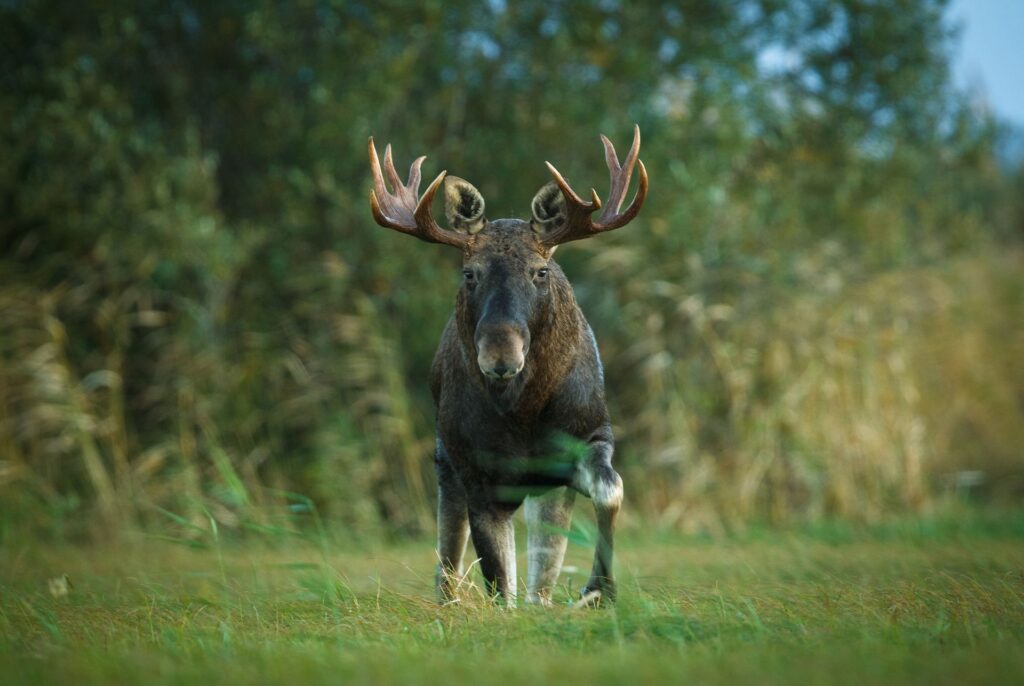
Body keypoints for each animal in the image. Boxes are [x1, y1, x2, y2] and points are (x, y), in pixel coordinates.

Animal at [368, 126, 647, 607]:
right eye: (469, 273)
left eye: (541, 271)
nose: (500, 357)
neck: (525, 415)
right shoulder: (477, 473)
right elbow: (499, 581)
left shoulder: (591, 437)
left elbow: (611, 491)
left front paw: (598, 591)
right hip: (446, 460)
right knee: (449, 553)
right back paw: (450, 599)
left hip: (544, 488)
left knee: (541, 573)